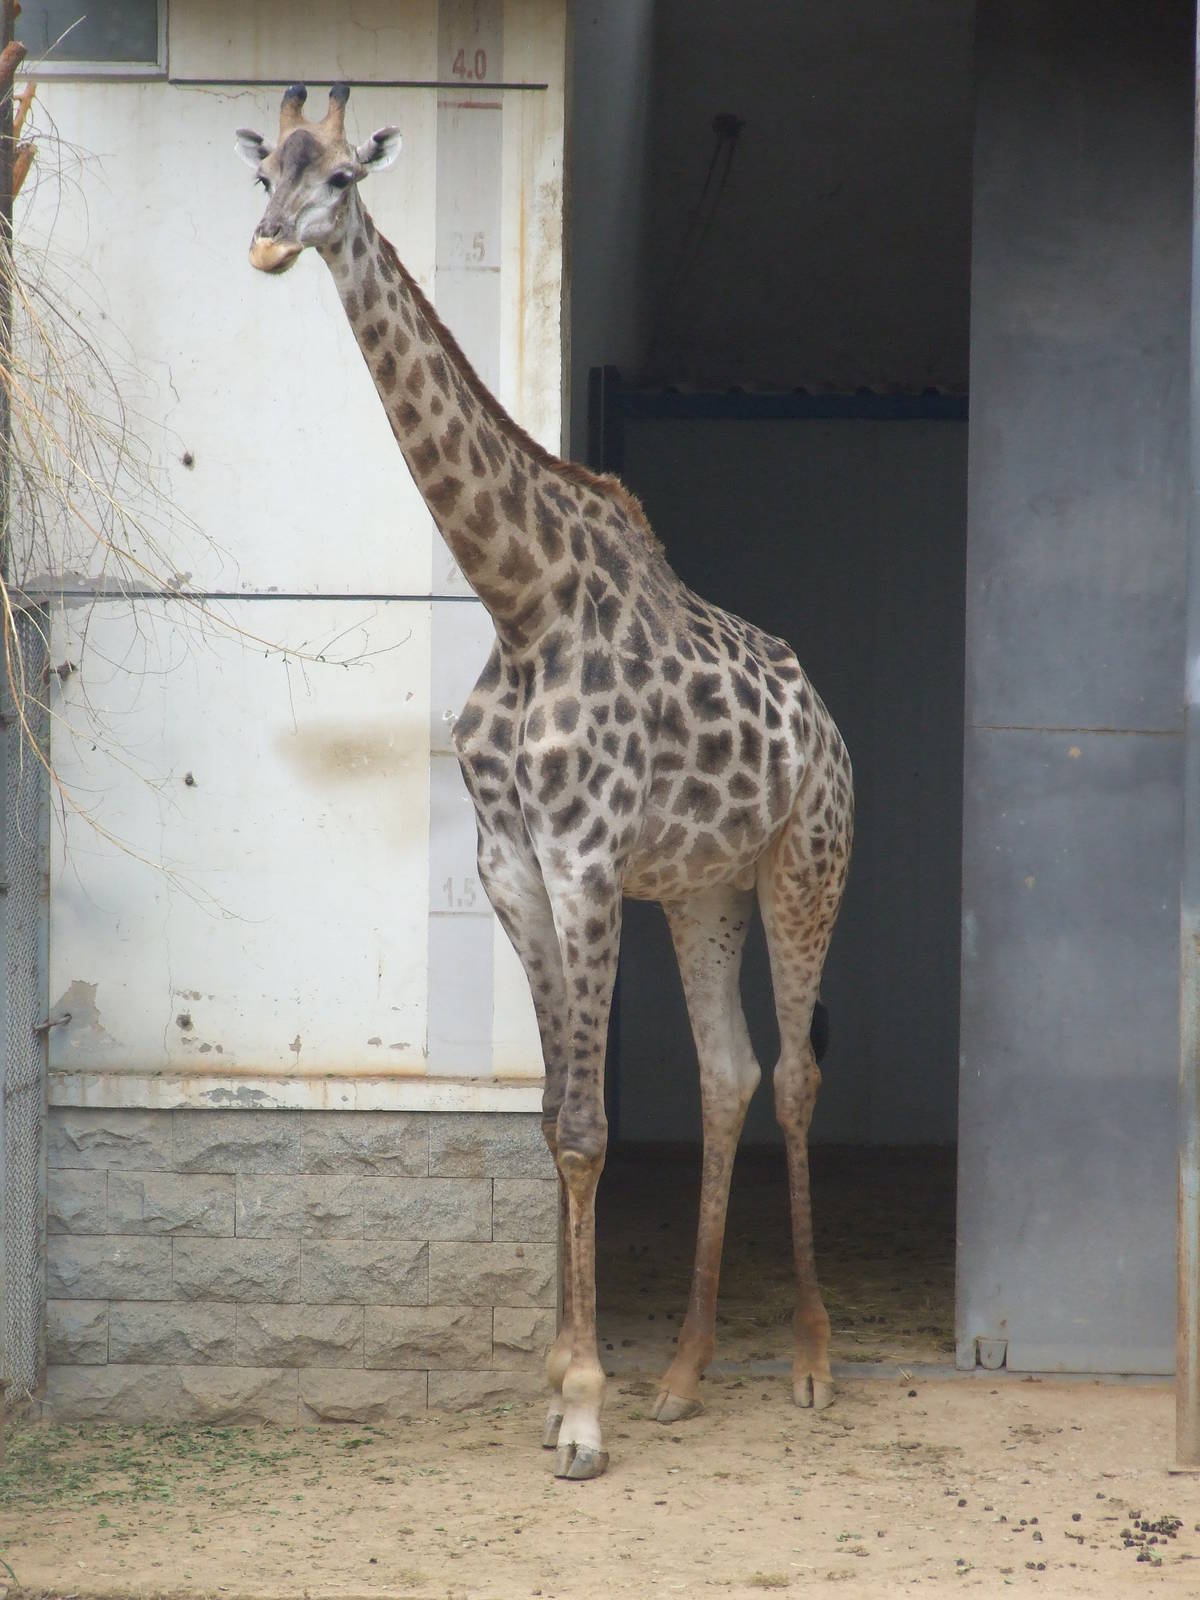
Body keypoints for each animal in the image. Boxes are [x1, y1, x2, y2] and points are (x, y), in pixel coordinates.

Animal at [236, 85, 853, 1480]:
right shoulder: (512, 870)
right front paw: (569, 1385)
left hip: (805, 866)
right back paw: (683, 1373)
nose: (267, 243)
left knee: (794, 1074)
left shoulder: (583, 865)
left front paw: (580, 1409)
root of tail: (832, 730)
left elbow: (585, 1126)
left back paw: (808, 1360)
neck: (519, 604)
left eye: (344, 176)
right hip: (703, 890)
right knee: (730, 1073)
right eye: (265, 169)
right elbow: (549, 1120)